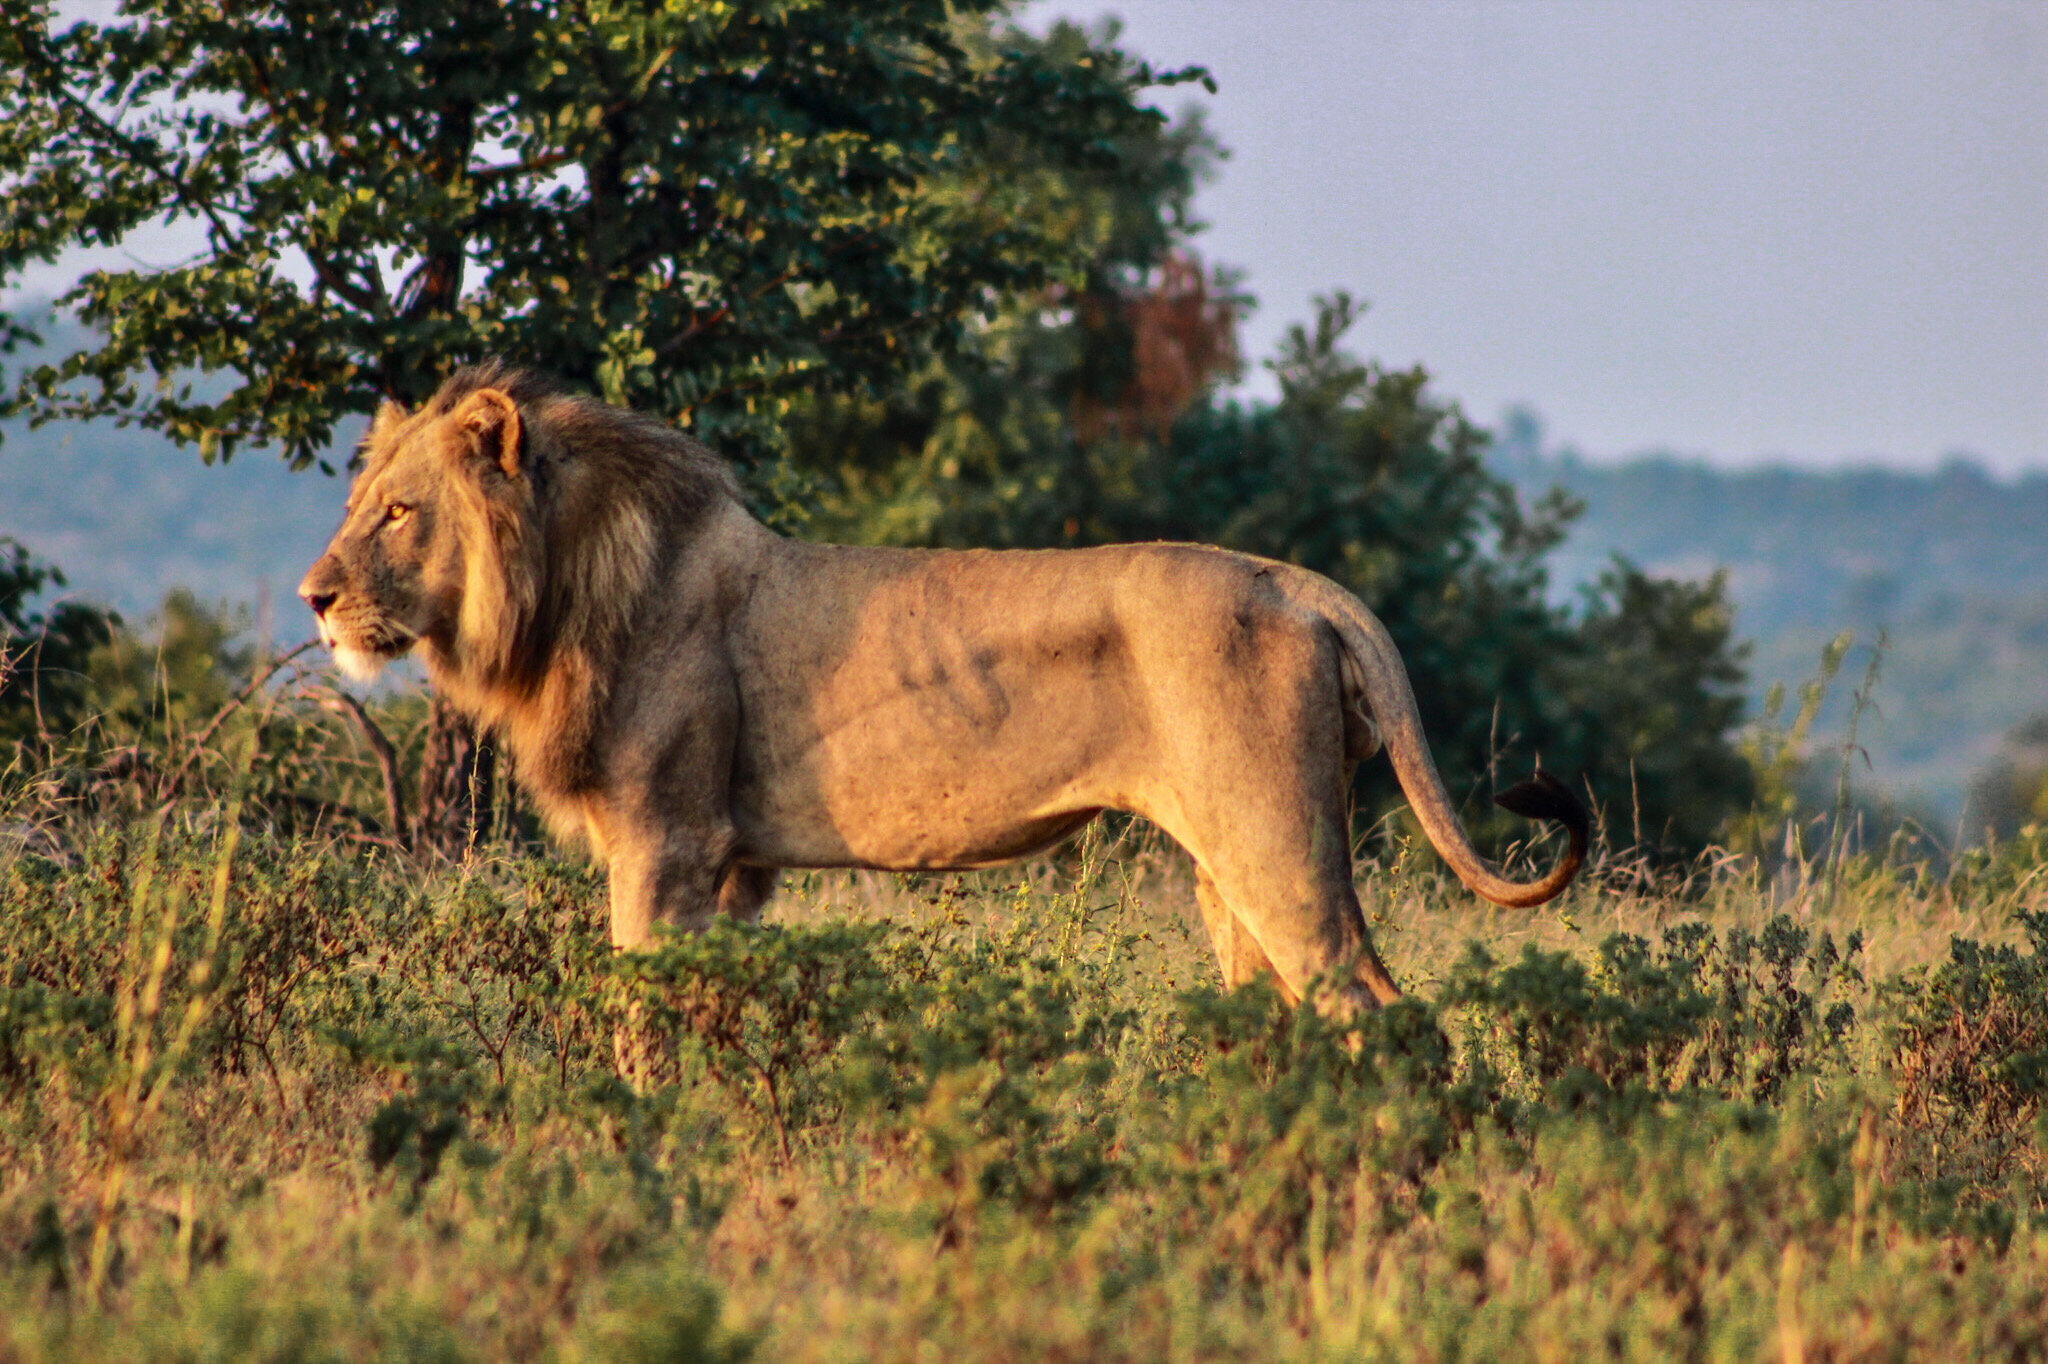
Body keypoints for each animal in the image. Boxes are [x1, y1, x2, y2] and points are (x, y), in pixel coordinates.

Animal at [299, 362, 1586, 1013]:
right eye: (358, 503)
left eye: (398, 513)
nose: (314, 595)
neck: (564, 588)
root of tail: (1297, 581)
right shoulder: (730, 865)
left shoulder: (666, 839)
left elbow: (641, 1023)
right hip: (1227, 861)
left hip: (1271, 837)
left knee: (1371, 1005)